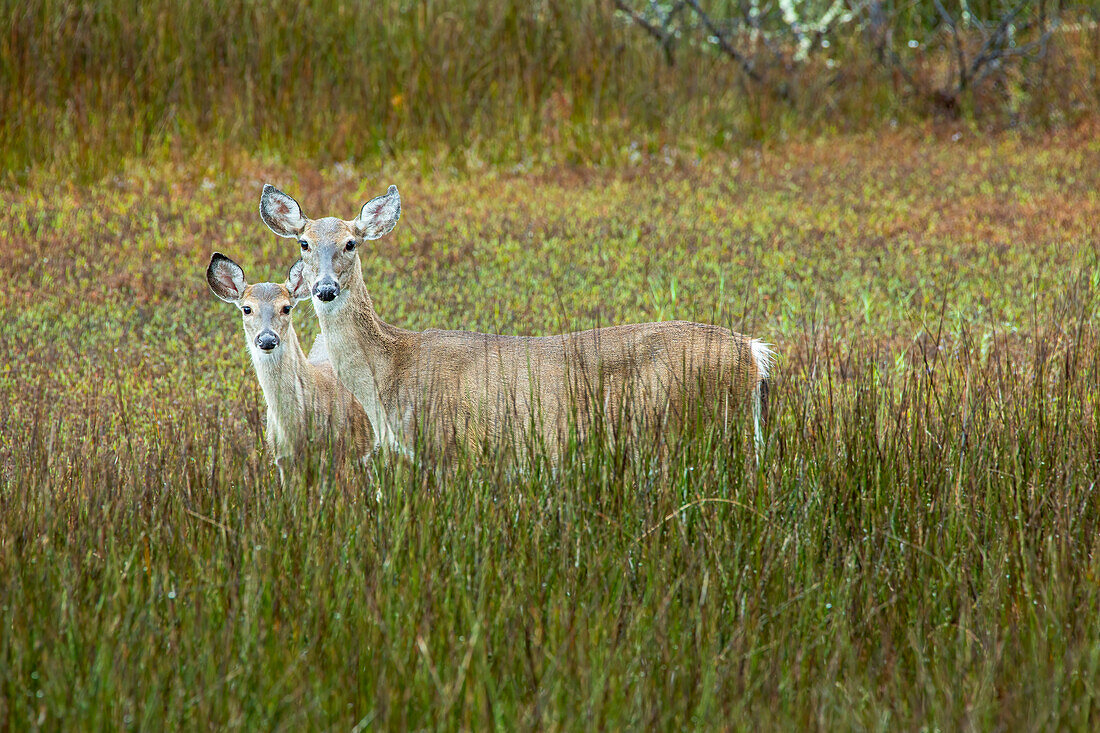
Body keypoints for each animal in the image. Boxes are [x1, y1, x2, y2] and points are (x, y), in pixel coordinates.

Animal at [257, 183, 774, 462]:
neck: (389, 375)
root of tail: (753, 352)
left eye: (351, 243)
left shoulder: (453, 444)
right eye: (304, 242)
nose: (324, 289)